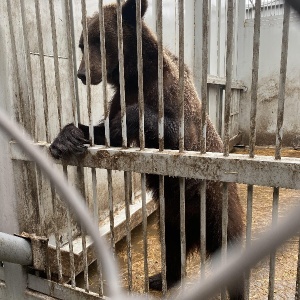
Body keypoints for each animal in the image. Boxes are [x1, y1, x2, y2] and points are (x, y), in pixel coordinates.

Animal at [50, 0, 245, 298]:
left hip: (215, 206)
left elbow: (177, 133)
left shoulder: (171, 95)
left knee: (229, 247)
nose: (83, 74)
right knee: (172, 246)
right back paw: (161, 278)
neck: (134, 76)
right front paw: (67, 136)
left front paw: (128, 121)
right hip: (172, 214)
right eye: (83, 44)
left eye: (101, 41)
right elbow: (102, 133)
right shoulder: (120, 96)